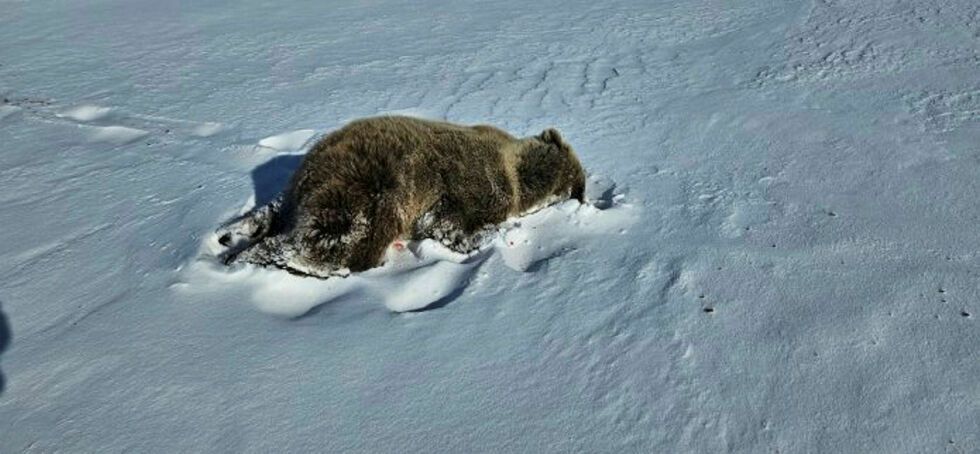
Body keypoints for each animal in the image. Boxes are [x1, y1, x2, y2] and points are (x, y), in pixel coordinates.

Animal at [218, 115, 584, 276]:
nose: (581, 192)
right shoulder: (470, 185)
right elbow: (448, 223)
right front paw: (485, 237)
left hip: (306, 181)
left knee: (276, 209)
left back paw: (232, 233)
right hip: (369, 188)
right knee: (338, 241)